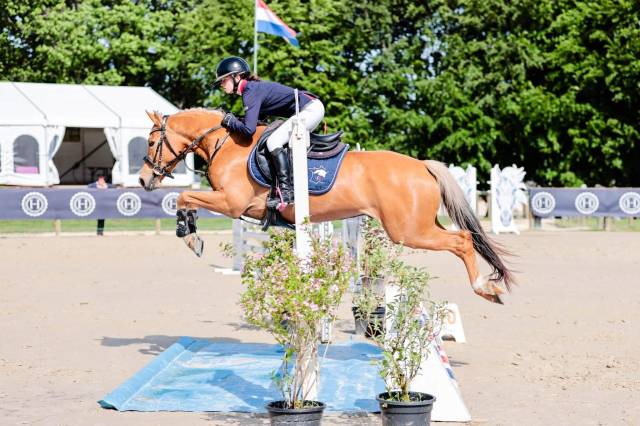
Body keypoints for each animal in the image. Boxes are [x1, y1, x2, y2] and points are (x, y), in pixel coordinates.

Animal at [139, 109, 514, 304]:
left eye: (153, 141)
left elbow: (184, 198)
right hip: (419, 225)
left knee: (462, 240)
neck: (227, 144)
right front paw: (191, 233)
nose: (143, 180)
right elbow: (186, 200)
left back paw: (485, 288)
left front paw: (190, 236)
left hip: (408, 231)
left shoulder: (231, 203)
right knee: (462, 237)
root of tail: (422, 166)